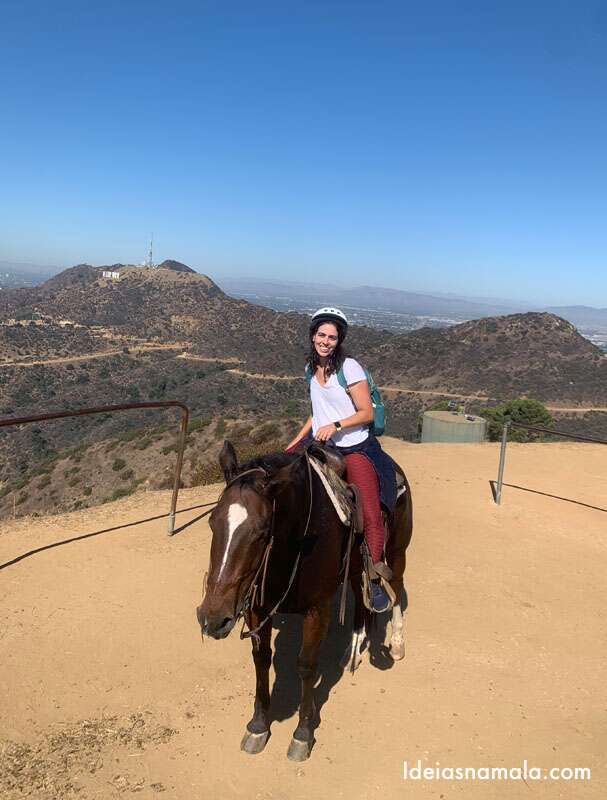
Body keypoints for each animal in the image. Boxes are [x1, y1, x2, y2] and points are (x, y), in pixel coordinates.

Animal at [196, 440, 414, 760]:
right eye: (212, 522)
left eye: (263, 531)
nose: (213, 618)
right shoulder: (258, 608)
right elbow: (261, 659)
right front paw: (258, 726)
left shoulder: (317, 610)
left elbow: (306, 666)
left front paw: (303, 732)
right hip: (354, 564)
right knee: (360, 596)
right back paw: (353, 650)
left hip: (397, 551)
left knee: (397, 588)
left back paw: (396, 644)